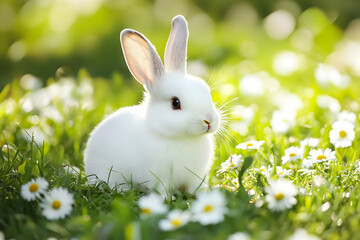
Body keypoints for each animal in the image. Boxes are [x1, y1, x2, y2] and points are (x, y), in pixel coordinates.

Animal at [84, 15, 219, 195]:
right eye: (175, 103)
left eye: (206, 90)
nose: (209, 120)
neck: (181, 138)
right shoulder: (159, 178)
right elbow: (162, 190)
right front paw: (168, 198)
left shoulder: (195, 178)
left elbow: (194, 188)